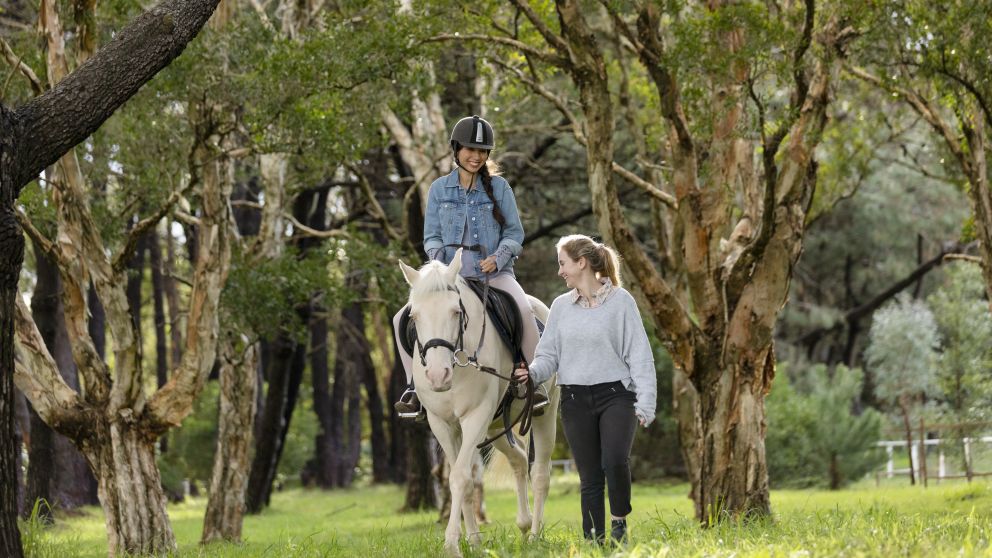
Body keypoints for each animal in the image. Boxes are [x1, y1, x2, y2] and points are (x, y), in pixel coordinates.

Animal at [402, 250, 560, 558]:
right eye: (414, 316)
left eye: (456, 311)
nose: (437, 376)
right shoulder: (443, 424)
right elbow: (461, 480)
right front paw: (474, 542)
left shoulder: (476, 416)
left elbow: (460, 478)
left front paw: (452, 544)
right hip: (496, 426)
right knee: (519, 459)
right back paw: (523, 526)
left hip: (543, 416)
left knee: (540, 475)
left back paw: (535, 536)